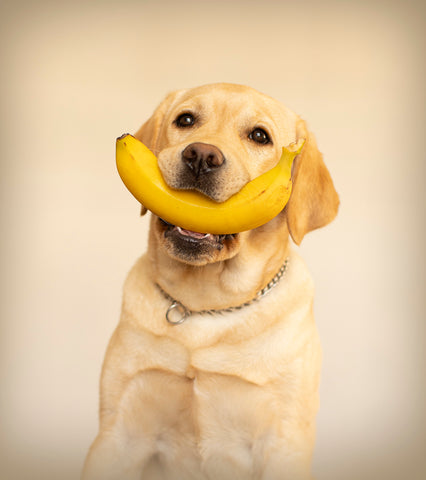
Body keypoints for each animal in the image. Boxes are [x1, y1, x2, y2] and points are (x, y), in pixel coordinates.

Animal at [82, 84, 340, 478]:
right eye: (186, 119)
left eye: (260, 136)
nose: (201, 155)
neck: (205, 304)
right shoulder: (118, 432)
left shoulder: (283, 440)